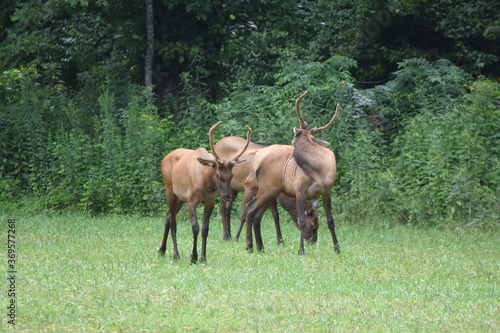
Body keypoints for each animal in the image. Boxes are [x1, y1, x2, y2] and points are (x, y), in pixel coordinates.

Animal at [158, 120, 252, 264]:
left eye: (232, 175)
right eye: (218, 174)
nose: (227, 196)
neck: (205, 182)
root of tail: (164, 158)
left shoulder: (209, 201)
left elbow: (205, 229)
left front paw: (203, 257)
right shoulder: (191, 200)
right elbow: (195, 227)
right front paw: (193, 257)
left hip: (180, 199)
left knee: (168, 215)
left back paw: (162, 250)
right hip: (170, 191)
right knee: (173, 221)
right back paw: (176, 254)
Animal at [245, 92, 342, 255]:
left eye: (317, 225)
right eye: (311, 225)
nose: (313, 241)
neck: (318, 172)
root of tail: (257, 160)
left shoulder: (327, 191)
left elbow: (331, 220)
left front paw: (337, 248)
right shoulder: (299, 190)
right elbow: (301, 220)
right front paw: (300, 250)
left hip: (271, 191)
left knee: (255, 213)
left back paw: (259, 247)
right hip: (267, 188)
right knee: (249, 209)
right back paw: (249, 246)